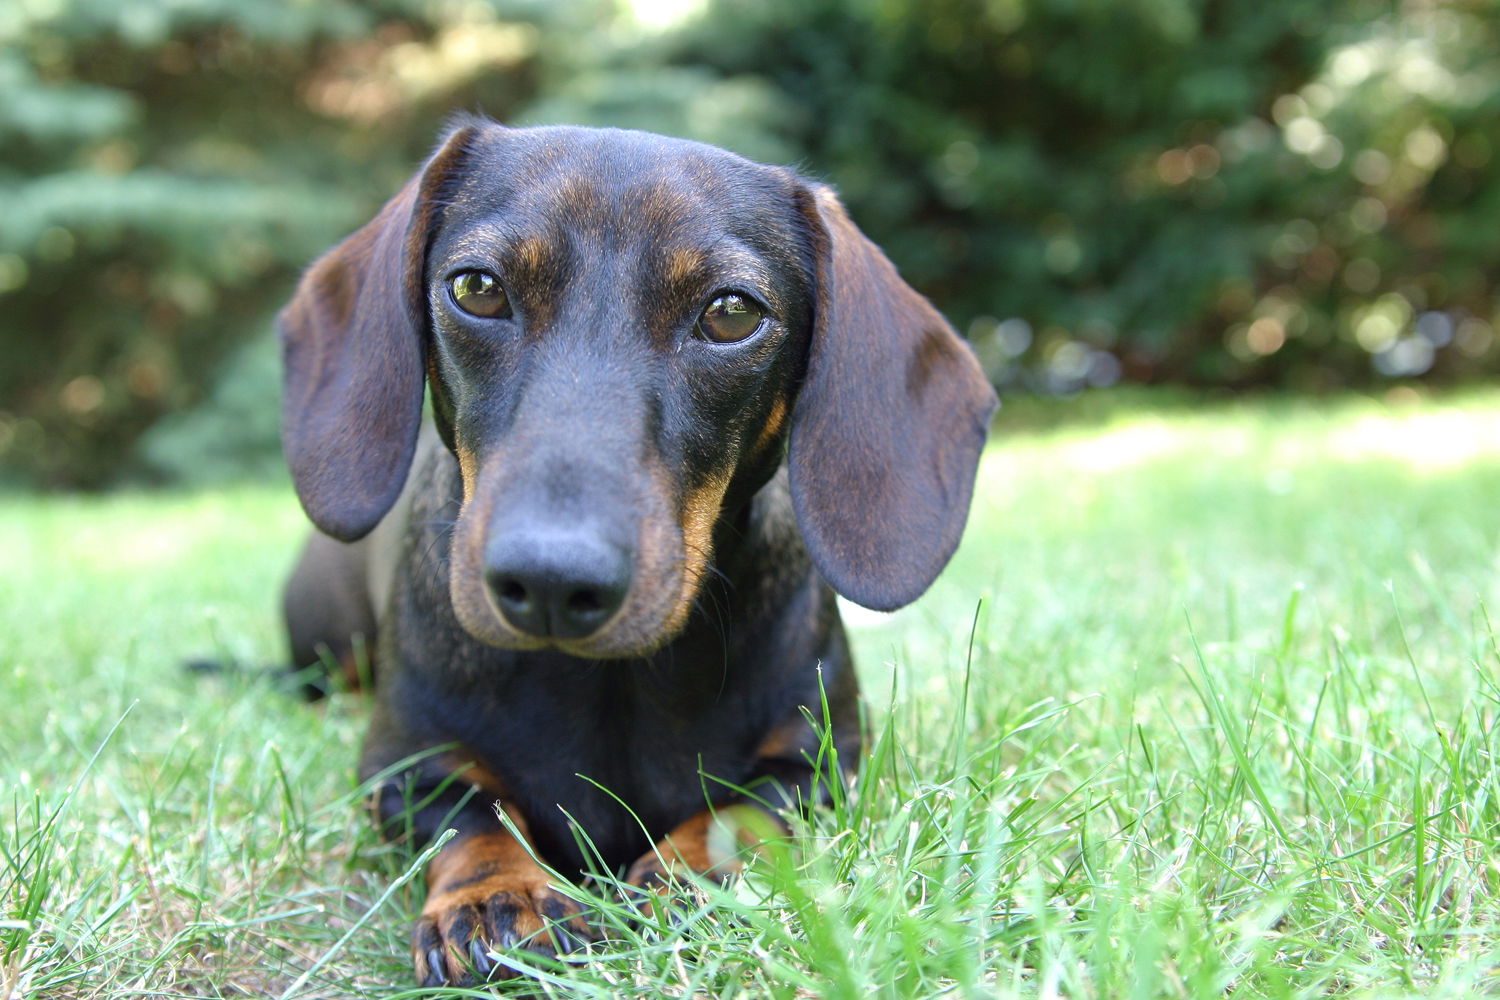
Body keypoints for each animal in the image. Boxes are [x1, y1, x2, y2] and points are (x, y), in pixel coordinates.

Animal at [276, 117, 996, 983]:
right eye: (477, 287)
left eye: (731, 312)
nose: (551, 582)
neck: (609, 684)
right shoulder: (401, 768)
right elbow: (474, 817)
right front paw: (495, 897)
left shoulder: (823, 763)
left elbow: (741, 813)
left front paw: (685, 876)